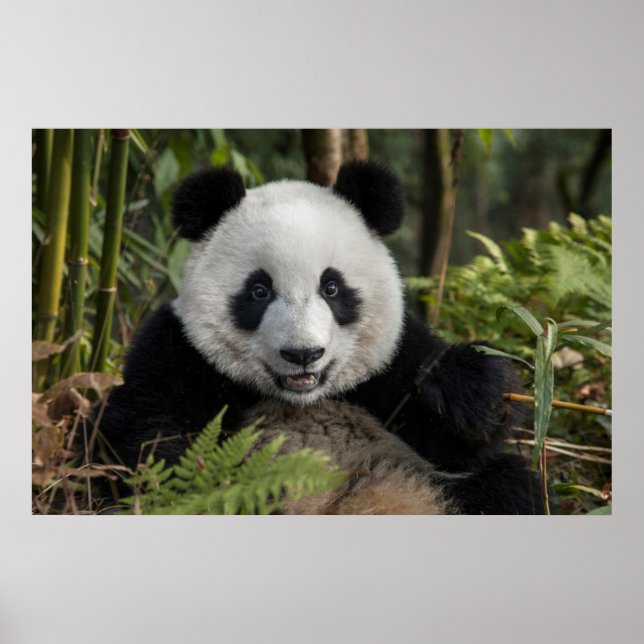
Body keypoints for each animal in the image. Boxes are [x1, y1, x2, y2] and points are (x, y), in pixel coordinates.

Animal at [96, 161, 544, 515]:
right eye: (259, 291)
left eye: (332, 287)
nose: (303, 354)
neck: (302, 399)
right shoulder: (178, 352)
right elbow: (151, 439)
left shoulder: (390, 363)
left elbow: (454, 442)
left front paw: (468, 388)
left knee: (507, 485)